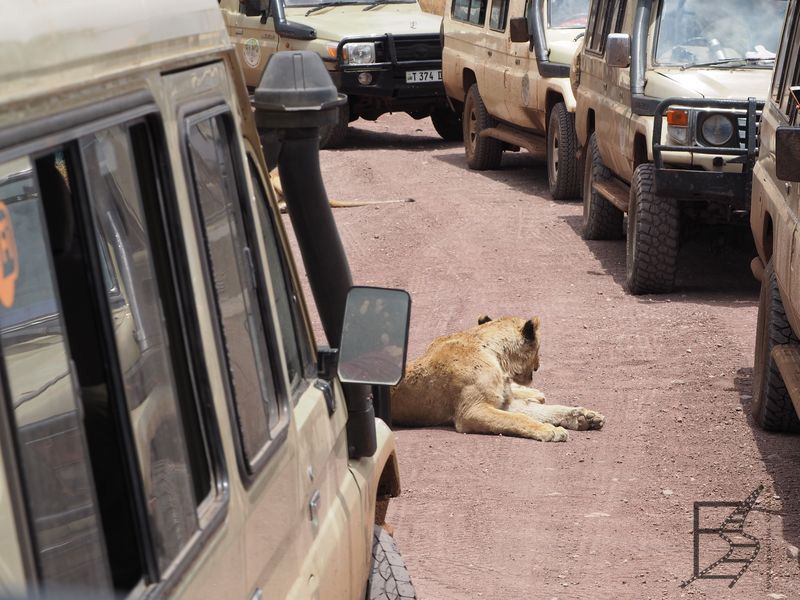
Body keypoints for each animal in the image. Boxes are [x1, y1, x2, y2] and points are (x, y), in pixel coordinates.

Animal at [390, 314, 608, 440]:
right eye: (538, 349)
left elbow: (543, 411)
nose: (538, 367)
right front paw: (550, 430)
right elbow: (519, 419)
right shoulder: (472, 411)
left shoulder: (503, 402)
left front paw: (584, 417)